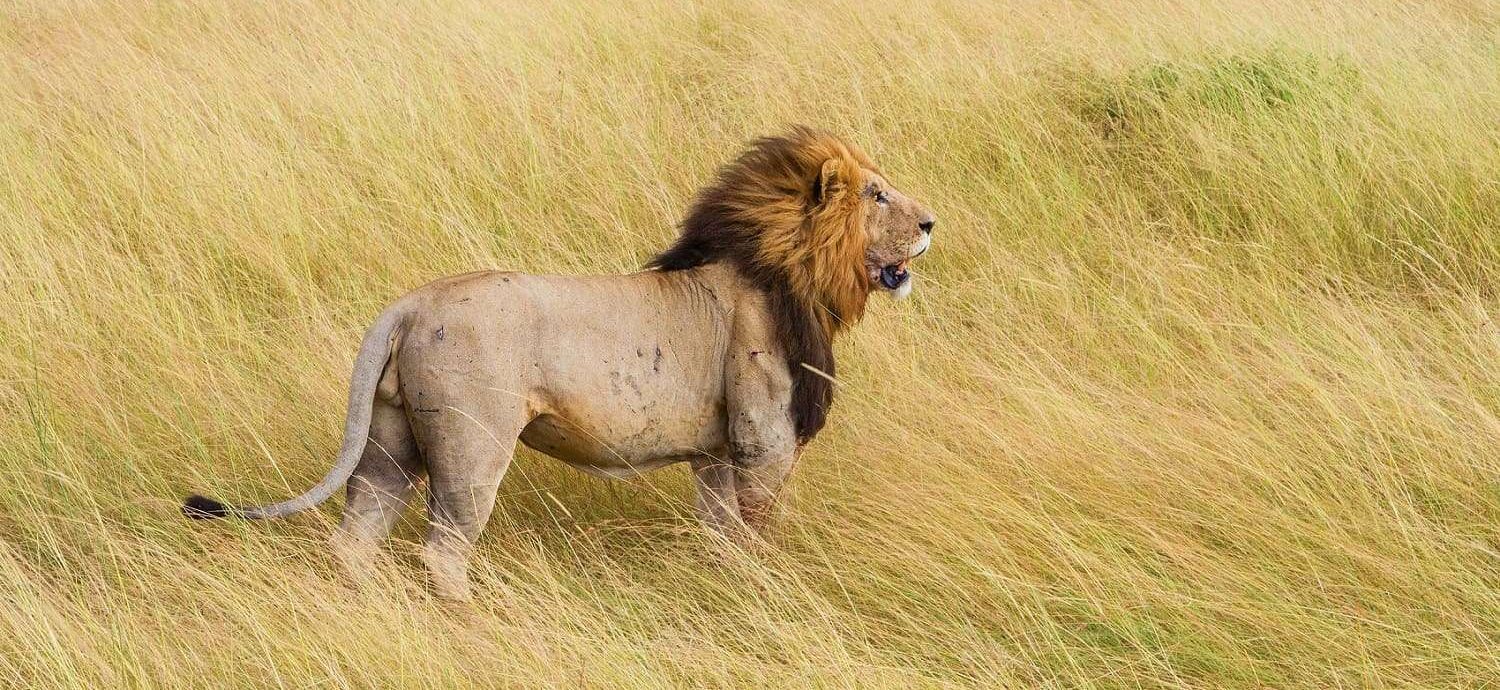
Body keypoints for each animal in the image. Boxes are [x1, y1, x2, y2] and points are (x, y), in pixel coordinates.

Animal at [183, 126, 936, 600]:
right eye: (876, 195)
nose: (931, 223)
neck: (791, 273)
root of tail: (410, 304)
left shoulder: (716, 454)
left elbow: (723, 537)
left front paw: (729, 587)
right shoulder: (762, 442)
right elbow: (757, 533)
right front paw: (767, 591)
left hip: (390, 442)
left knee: (354, 539)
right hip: (473, 445)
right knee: (442, 550)